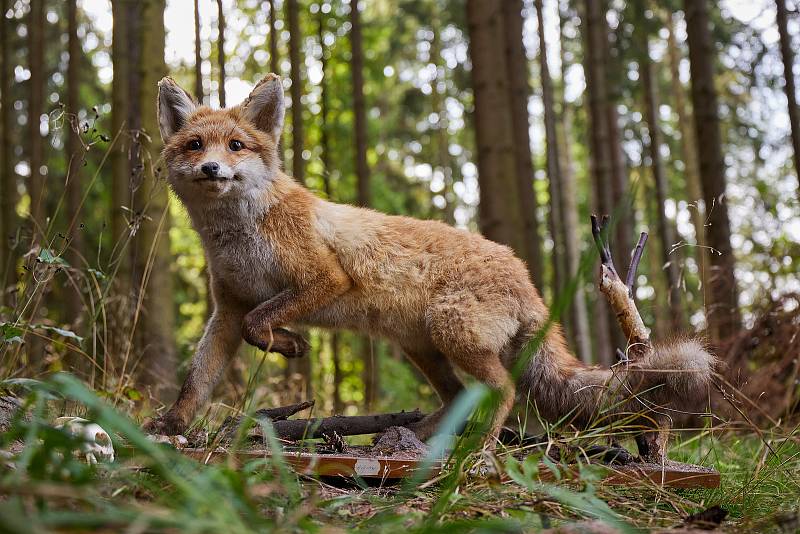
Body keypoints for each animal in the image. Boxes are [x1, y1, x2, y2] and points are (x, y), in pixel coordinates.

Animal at [147, 74, 716, 452]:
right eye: (194, 144)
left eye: (236, 145)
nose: (211, 168)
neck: (240, 236)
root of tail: (527, 278)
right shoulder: (225, 308)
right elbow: (199, 378)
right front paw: (169, 427)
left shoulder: (323, 277)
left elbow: (259, 323)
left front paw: (289, 343)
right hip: (423, 347)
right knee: (458, 396)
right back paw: (415, 436)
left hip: (451, 331)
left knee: (502, 390)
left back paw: (476, 448)